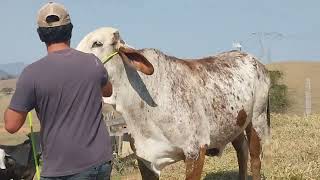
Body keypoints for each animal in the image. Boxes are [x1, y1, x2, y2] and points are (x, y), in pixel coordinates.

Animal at [77, 27, 270, 180]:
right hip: (234, 124)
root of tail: (255, 61)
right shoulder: (145, 160)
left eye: (97, 43)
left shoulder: (195, 151)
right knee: (242, 152)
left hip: (257, 119)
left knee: (255, 159)